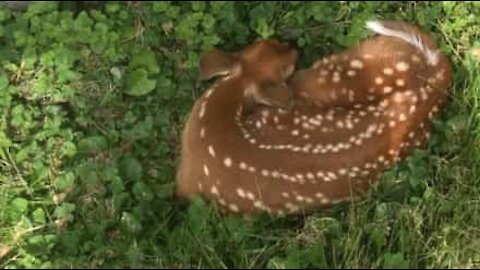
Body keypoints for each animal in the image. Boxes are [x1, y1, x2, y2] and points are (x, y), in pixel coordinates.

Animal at [175, 20, 450, 216]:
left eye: (288, 65)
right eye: (265, 42)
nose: (293, 46)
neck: (212, 125)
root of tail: (435, 79)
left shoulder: (184, 182)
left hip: (331, 70)